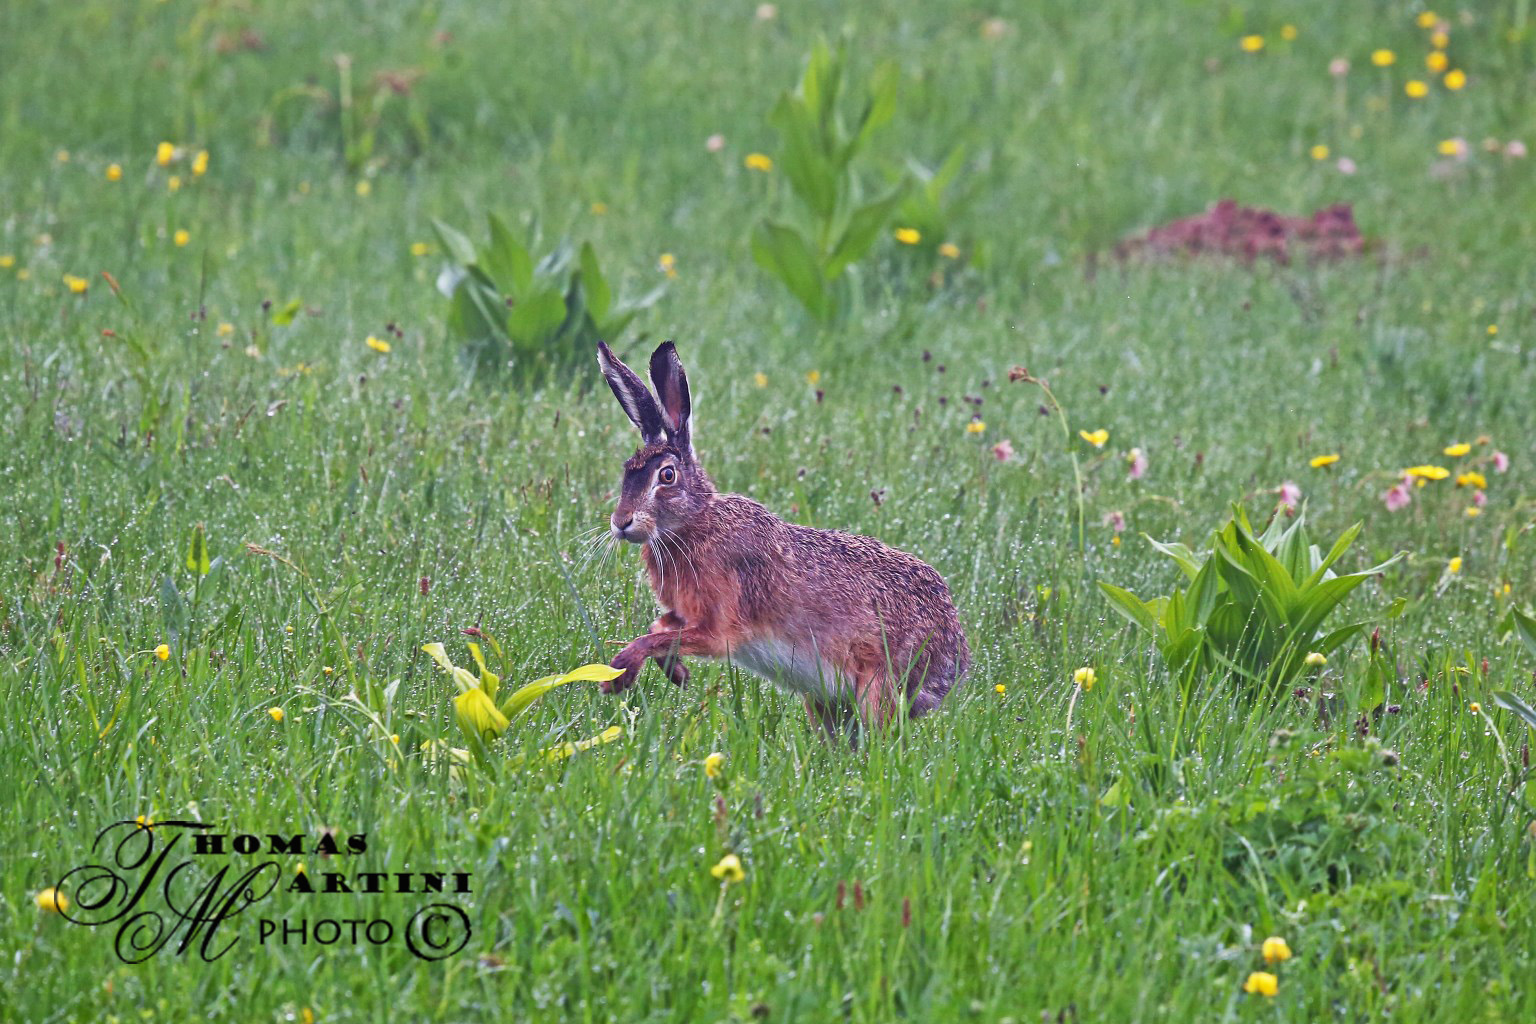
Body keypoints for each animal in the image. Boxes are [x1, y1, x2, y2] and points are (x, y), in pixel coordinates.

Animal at [595, 340, 970, 736]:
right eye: (627, 472)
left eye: (666, 476)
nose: (621, 522)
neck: (695, 524)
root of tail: (953, 658)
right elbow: (659, 627)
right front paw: (674, 673)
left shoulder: (718, 628)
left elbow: (657, 637)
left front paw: (618, 673)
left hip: (877, 684)